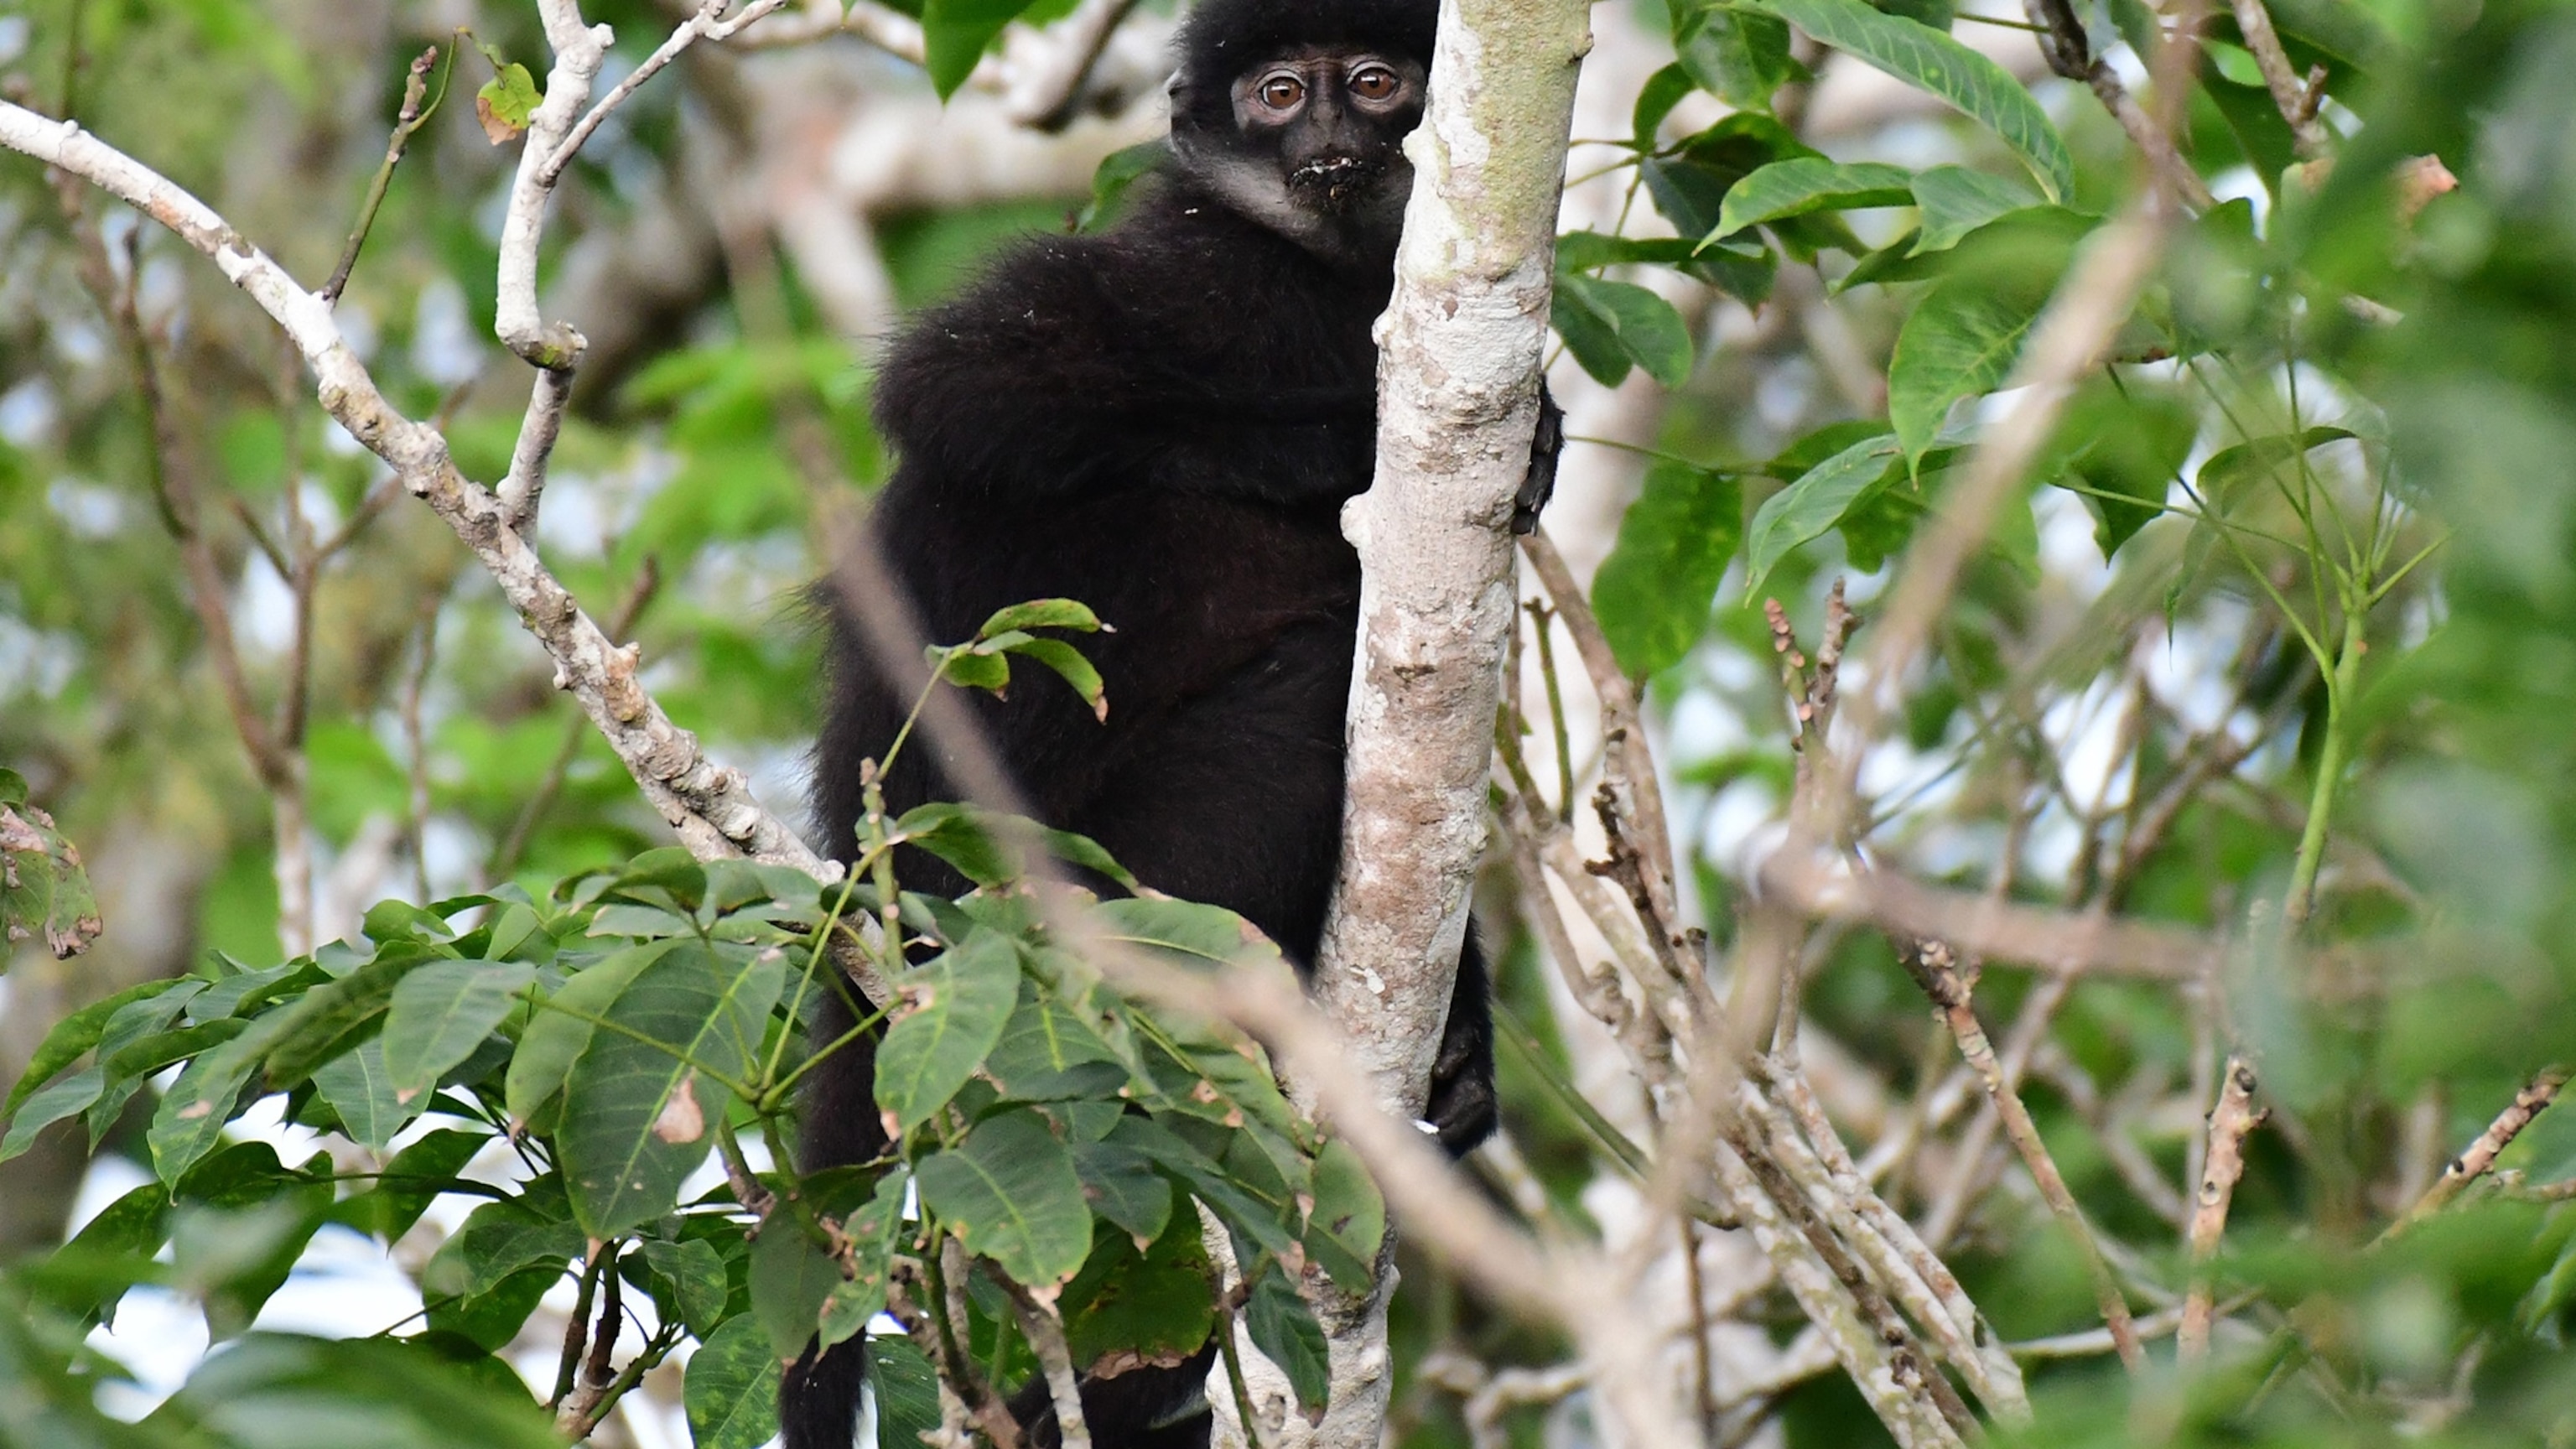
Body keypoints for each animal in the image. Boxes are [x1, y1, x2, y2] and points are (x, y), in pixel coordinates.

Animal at [782, 0, 1558, 1443]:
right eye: (1278, 92)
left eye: (1377, 82)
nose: (1328, 138)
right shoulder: (1185, 275)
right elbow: (959, 388)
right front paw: (1356, 444)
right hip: (1107, 878)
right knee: (1309, 683)